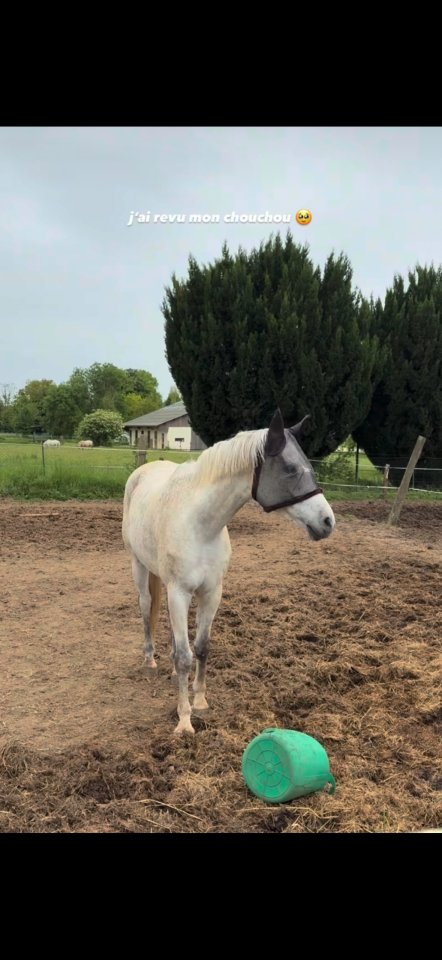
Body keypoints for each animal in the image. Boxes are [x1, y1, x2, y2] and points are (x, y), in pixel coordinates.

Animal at [122, 408, 336, 735]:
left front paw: (200, 703)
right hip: (139, 565)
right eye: (289, 468)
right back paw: (150, 663)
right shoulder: (179, 592)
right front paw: (184, 721)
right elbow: (184, 657)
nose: (327, 522)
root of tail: (144, 470)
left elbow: (201, 649)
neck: (200, 523)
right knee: (146, 607)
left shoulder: (211, 593)